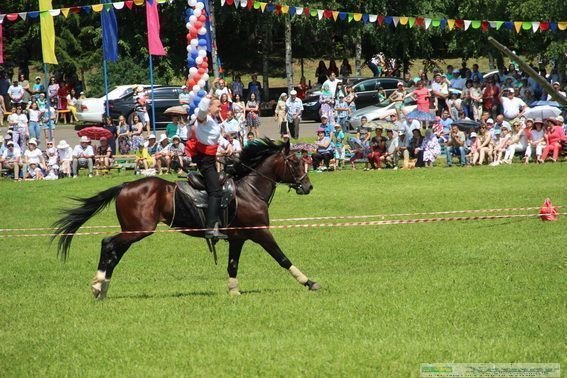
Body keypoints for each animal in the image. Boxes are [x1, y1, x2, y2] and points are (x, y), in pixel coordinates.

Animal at [52, 137, 320, 300]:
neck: (250, 191)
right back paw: (98, 283)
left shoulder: (238, 238)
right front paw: (309, 282)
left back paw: (102, 289)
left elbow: (232, 265)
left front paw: (233, 291)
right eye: (295, 162)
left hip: (132, 231)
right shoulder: (261, 232)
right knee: (107, 244)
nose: (308, 187)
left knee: (114, 252)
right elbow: (282, 258)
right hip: (138, 230)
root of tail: (126, 185)